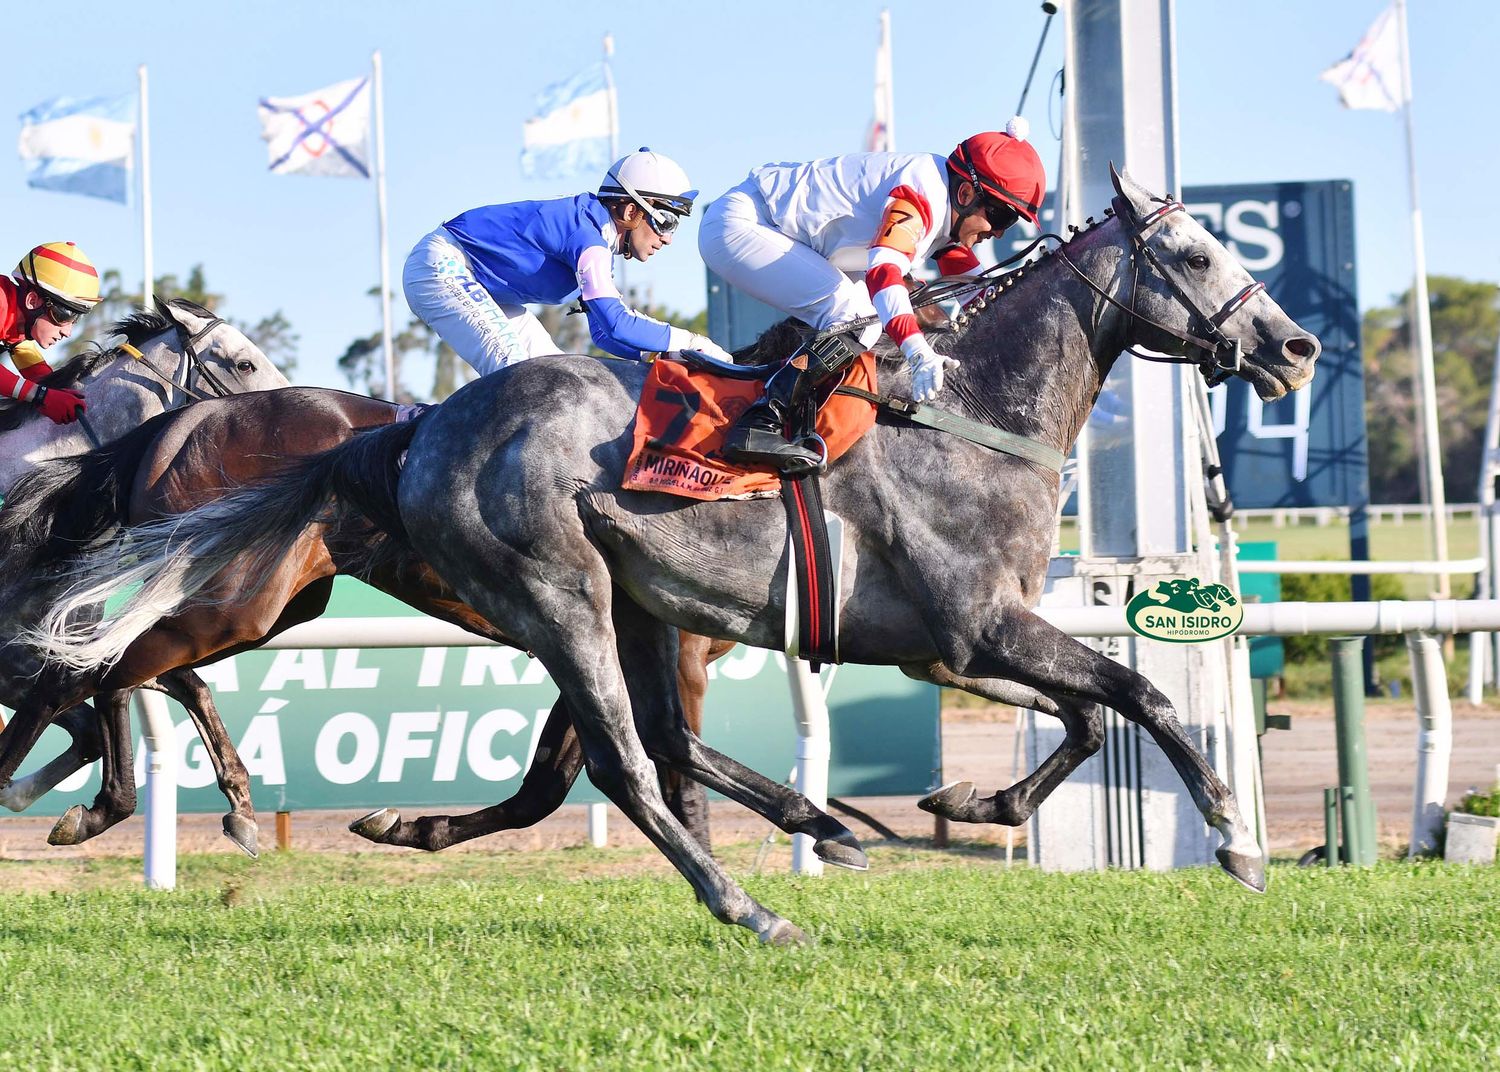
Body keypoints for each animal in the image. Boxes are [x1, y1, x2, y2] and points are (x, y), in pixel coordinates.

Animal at [20, 165, 1314, 941]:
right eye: (1197, 256)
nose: (1295, 346)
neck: (973, 413)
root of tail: (414, 432)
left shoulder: (960, 641)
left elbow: (1095, 713)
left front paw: (966, 798)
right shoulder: (970, 628)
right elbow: (1143, 694)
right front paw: (1236, 844)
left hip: (612, 603)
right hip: (540, 598)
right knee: (622, 762)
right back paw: (746, 904)